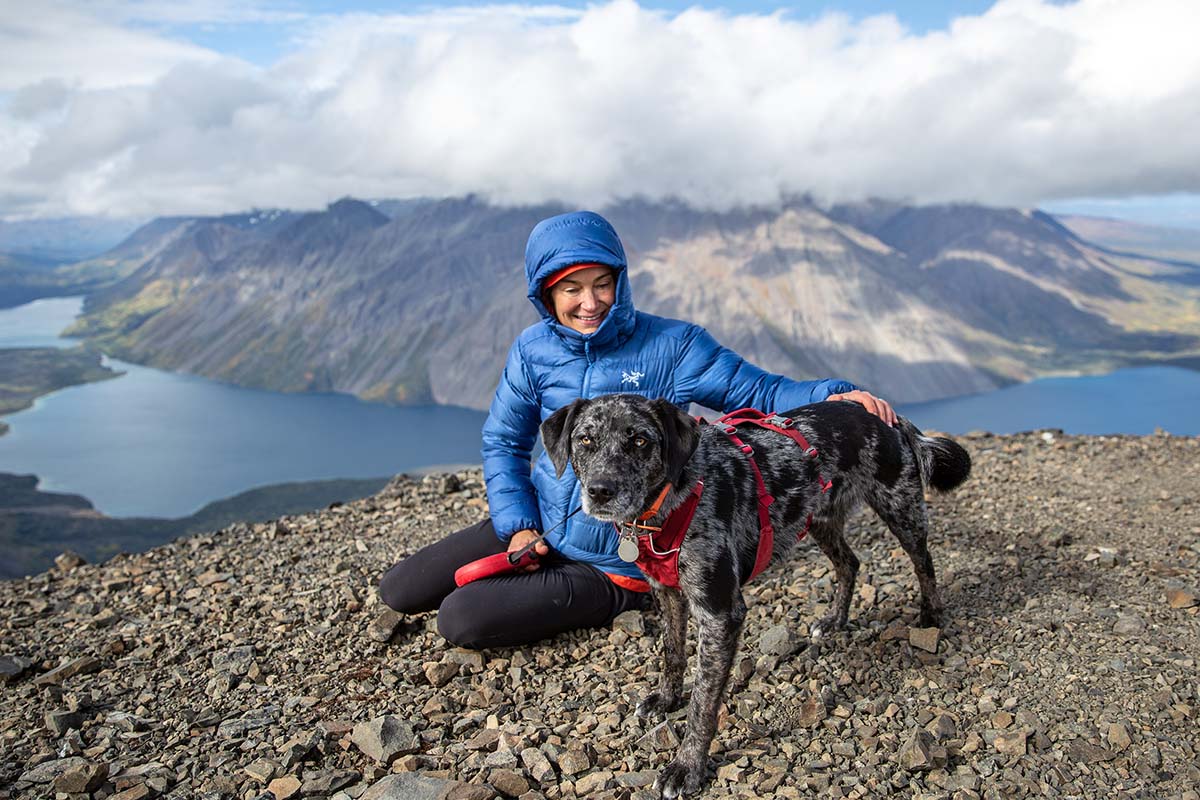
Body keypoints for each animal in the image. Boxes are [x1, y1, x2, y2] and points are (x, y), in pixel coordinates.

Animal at [544, 395, 974, 800]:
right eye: (585, 439)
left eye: (639, 440)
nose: (601, 491)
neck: (670, 499)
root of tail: (880, 413)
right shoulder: (666, 593)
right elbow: (671, 654)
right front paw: (667, 699)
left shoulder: (720, 612)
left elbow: (703, 703)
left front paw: (687, 766)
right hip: (818, 519)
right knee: (850, 563)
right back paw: (835, 620)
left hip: (900, 509)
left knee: (924, 563)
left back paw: (931, 616)